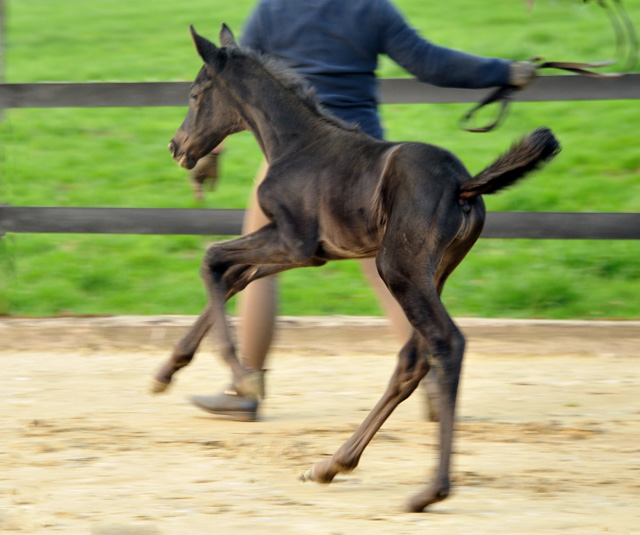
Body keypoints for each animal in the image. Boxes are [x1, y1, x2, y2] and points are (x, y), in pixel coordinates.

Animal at [151, 26, 560, 516]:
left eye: (196, 94)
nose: (177, 148)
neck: (295, 143)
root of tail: (462, 184)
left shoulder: (294, 241)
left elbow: (213, 258)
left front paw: (243, 380)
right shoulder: (303, 249)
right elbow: (233, 276)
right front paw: (168, 370)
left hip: (399, 270)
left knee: (446, 344)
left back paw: (430, 490)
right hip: (431, 273)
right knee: (412, 359)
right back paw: (331, 464)